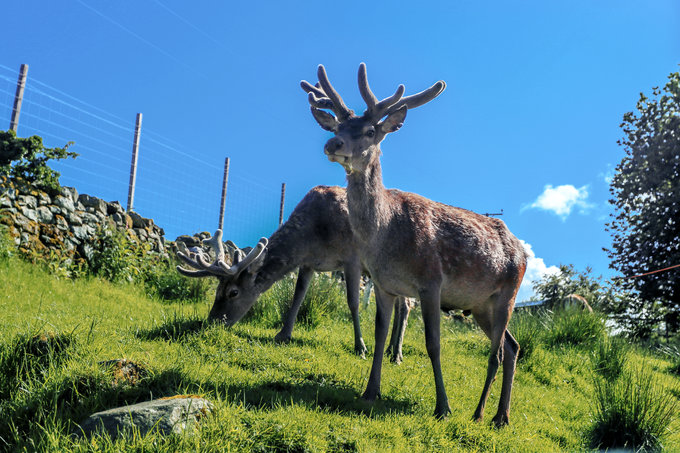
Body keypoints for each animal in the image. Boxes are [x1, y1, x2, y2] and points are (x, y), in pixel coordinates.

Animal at [173, 184, 412, 360]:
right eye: (217, 290)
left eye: (233, 292)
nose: (212, 321)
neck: (314, 233)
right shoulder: (308, 263)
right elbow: (298, 296)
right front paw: (283, 334)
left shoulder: (352, 258)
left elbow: (353, 302)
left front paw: (360, 347)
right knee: (400, 303)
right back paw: (390, 349)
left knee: (406, 305)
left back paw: (397, 354)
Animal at [302, 62, 532, 424]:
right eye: (339, 125)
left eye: (370, 131)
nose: (333, 143)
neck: (385, 236)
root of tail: (523, 250)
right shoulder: (384, 284)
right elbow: (380, 335)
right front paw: (370, 391)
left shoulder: (431, 281)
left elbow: (433, 343)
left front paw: (443, 407)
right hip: (481, 304)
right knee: (513, 347)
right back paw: (501, 417)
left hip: (508, 292)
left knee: (495, 353)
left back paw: (479, 413)